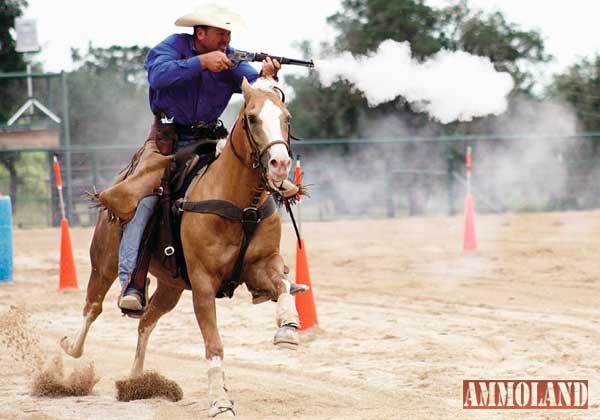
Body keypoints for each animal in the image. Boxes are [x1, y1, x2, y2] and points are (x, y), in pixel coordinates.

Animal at [61, 76, 304, 416]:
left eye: (287, 118)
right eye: (252, 118)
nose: (280, 163)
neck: (240, 204)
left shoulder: (261, 264)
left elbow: (282, 282)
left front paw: (288, 327)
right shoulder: (203, 284)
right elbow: (213, 342)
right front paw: (219, 401)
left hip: (170, 287)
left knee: (145, 322)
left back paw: (136, 381)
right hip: (104, 262)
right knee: (92, 307)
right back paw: (72, 347)